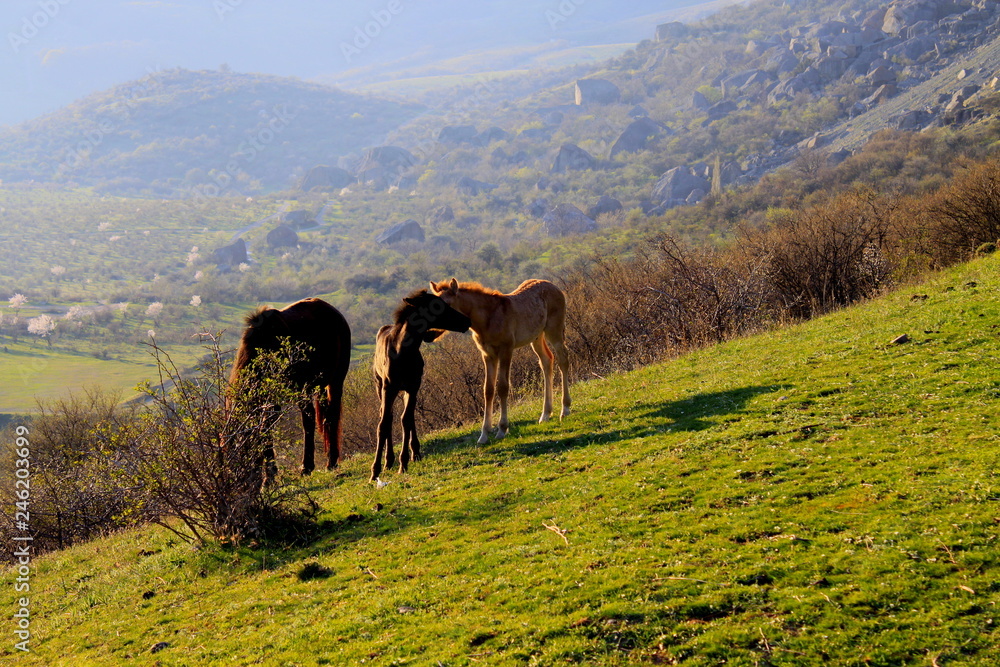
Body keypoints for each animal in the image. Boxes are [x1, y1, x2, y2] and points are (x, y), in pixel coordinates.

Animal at [230, 297, 351, 477]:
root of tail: (335, 313)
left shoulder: (274, 398)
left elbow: (266, 427)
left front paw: (270, 474)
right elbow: (265, 428)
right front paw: (271, 473)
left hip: (333, 381)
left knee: (329, 417)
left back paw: (327, 462)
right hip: (316, 387)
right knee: (317, 417)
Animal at [371, 289, 471, 481]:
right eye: (439, 306)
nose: (466, 321)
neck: (404, 351)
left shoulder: (413, 386)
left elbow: (406, 420)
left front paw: (403, 463)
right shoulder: (388, 387)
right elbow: (384, 423)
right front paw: (375, 470)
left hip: (409, 389)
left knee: (408, 416)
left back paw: (415, 453)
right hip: (380, 386)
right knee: (388, 415)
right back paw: (389, 460)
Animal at [429, 278, 570, 445]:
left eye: (448, 305)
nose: (431, 332)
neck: (487, 320)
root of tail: (554, 287)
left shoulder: (506, 350)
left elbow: (503, 387)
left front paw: (502, 429)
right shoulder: (487, 355)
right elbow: (488, 390)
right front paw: (484, 434)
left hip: (554, 330)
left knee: (563, 359)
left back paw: (565, 410)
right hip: (536, 337)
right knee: (547, 361)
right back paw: (545, 414)